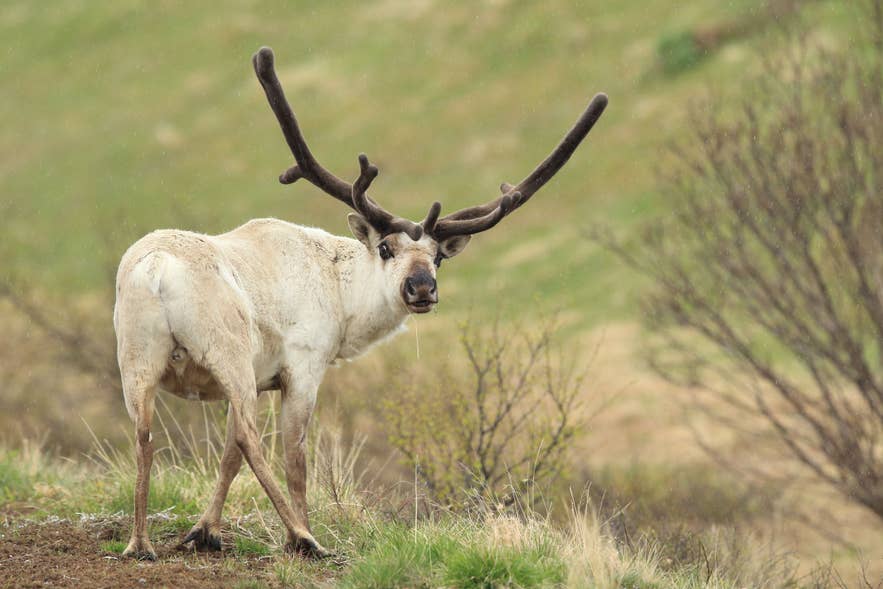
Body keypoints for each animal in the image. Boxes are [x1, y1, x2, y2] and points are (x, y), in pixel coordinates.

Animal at [113, 46, 607, 560]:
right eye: (386, 248)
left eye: (438, 257)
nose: (421, 288)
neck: (342, 296)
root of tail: (157, 272)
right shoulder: (302, 366)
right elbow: (293, 457)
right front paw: (293, 532)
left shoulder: (259, 377)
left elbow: (227, 454)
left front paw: (204, 530)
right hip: (226, 349)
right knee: (252, 440)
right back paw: (305, 536)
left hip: (137, 359)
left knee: (145, 436)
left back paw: (139, 543)